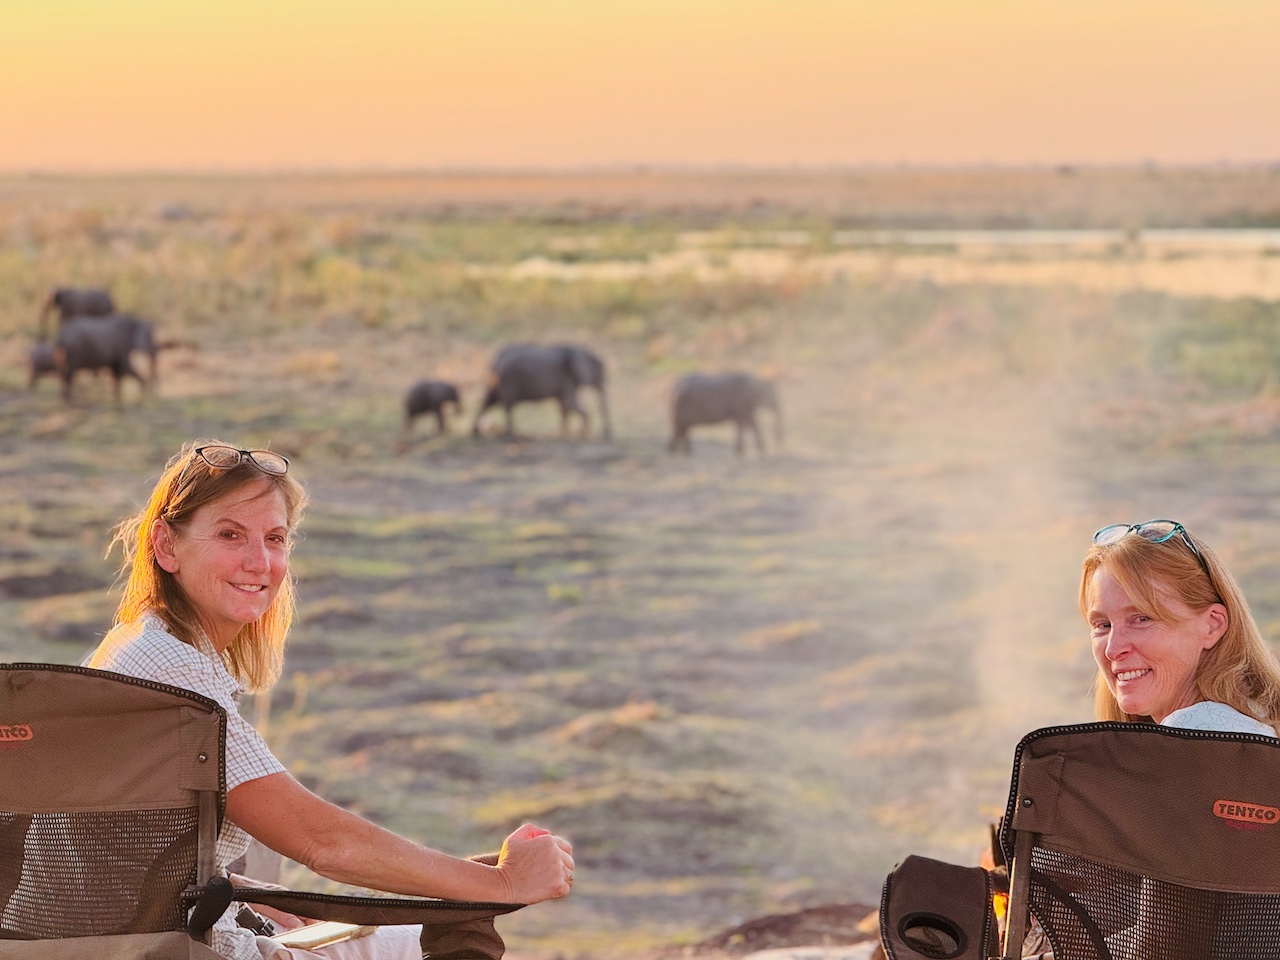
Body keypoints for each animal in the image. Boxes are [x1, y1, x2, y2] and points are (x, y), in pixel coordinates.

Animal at [473, 343, 611, 442]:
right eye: (597, 371)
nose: (607, 436)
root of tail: (494, 361)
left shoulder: (565, 379)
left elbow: (564, 406)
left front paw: (564, 434)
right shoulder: (567, 379)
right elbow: (568, 403)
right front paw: (581, 435)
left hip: (497, 381)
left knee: (489, 401)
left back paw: (477, 434)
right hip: (507, 381)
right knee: (506, 405)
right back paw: (509, 436)